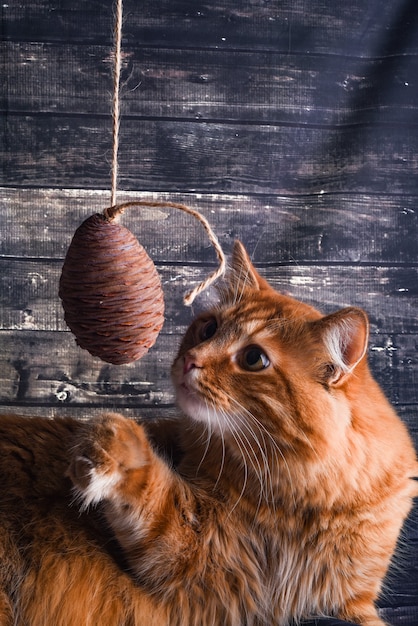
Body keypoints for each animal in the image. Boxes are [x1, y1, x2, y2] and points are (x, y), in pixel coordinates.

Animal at [0, 240, 418, 624]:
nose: (189, 360)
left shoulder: (351, 602)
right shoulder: (197, 567)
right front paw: (113, 445)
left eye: (254, 358)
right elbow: (154, 490)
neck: (304, 501)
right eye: (209, 328)